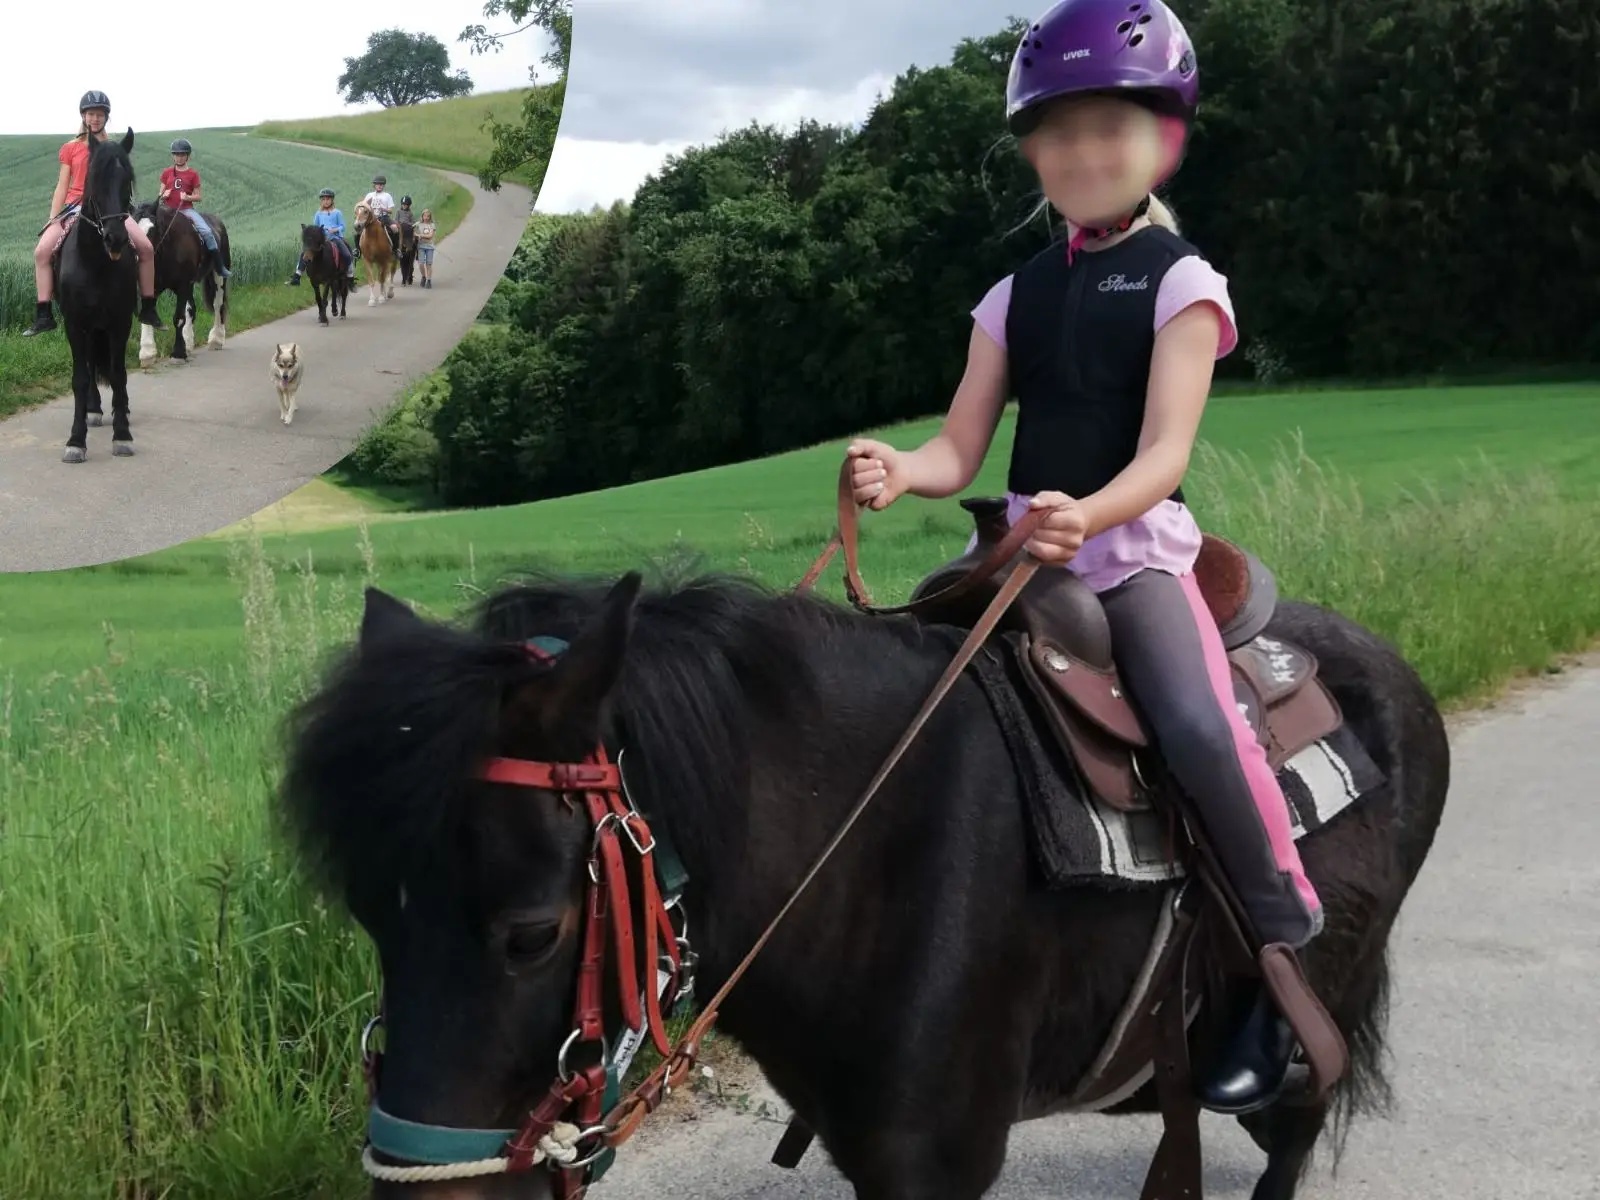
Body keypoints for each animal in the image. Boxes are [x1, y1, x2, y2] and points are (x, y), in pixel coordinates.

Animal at [54, 128, 140, 463]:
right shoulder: (75, 324)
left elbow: (118, 374)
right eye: (95, 178)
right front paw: (76, 441)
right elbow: (79, 377)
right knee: (90, 366)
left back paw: (120, 409)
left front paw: (122, 435)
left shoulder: (120, 322)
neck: (95, 262)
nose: (116, 238)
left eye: (127, 179)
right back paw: (92, 409)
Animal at [132, 201, 231, 368]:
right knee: (191, 309)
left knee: (218, 304)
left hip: (218, 276)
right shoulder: (154, 286)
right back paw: (189, 344)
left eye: (152, 229)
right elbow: (147, 316)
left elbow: (178, 318)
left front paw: (177, 354)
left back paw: (216, 339)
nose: (137, 260)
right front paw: (147, 354)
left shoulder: (183, 285)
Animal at [279, 522, 1451, 1200]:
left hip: (1317, 1014)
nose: (425, 1199)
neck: (862, 849)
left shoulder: (935, 1164)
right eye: (372, 917)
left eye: (532, 933)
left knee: (1290, 1129)